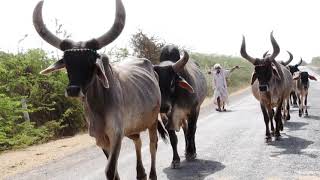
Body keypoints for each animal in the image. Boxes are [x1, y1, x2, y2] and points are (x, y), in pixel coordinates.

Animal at [32, 0, 168, 180]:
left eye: (91, 62)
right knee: (137, 141)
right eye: (67, 62)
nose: (73, 90)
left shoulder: (116, 134)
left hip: (152, 121)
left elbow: (110, 170)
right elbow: (114, 171)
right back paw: (140, 173)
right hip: (132, 128)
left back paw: (152, 174)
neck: (98, 105)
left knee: (153, 145)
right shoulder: (100, 139)